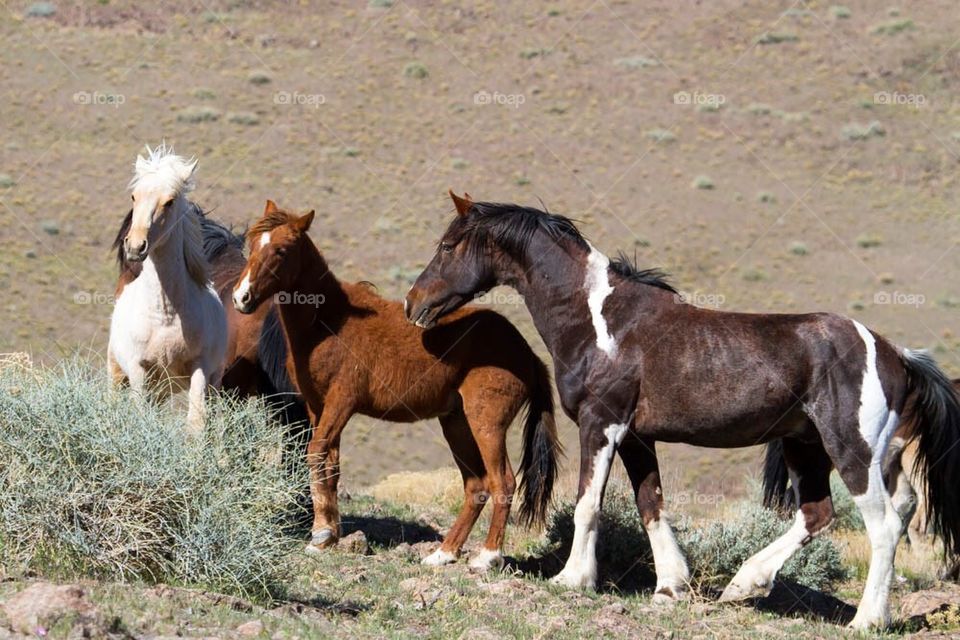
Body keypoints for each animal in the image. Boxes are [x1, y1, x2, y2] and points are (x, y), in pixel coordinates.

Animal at [107, 145, 227, 433]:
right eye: (134, 196)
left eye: (170, 201)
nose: (135, 246)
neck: (165, 315)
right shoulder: (138, 369)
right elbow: (139, 415)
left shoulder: (200, 369)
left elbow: (196, 422)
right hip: (118, 372)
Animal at [231, 200, 562, 568]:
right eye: (251, 245)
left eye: (281, 250)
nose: (241, 297)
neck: (329, 322)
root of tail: (527, 353)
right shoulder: (318, 407)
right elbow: (330, 465)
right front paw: (326, 536)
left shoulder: (341, 403)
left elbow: (316, 454)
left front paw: (322, 534)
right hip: (457, 423)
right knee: (476, 485)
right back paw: (443, 553)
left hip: (486, 424)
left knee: (501, 481)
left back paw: (487, 557)